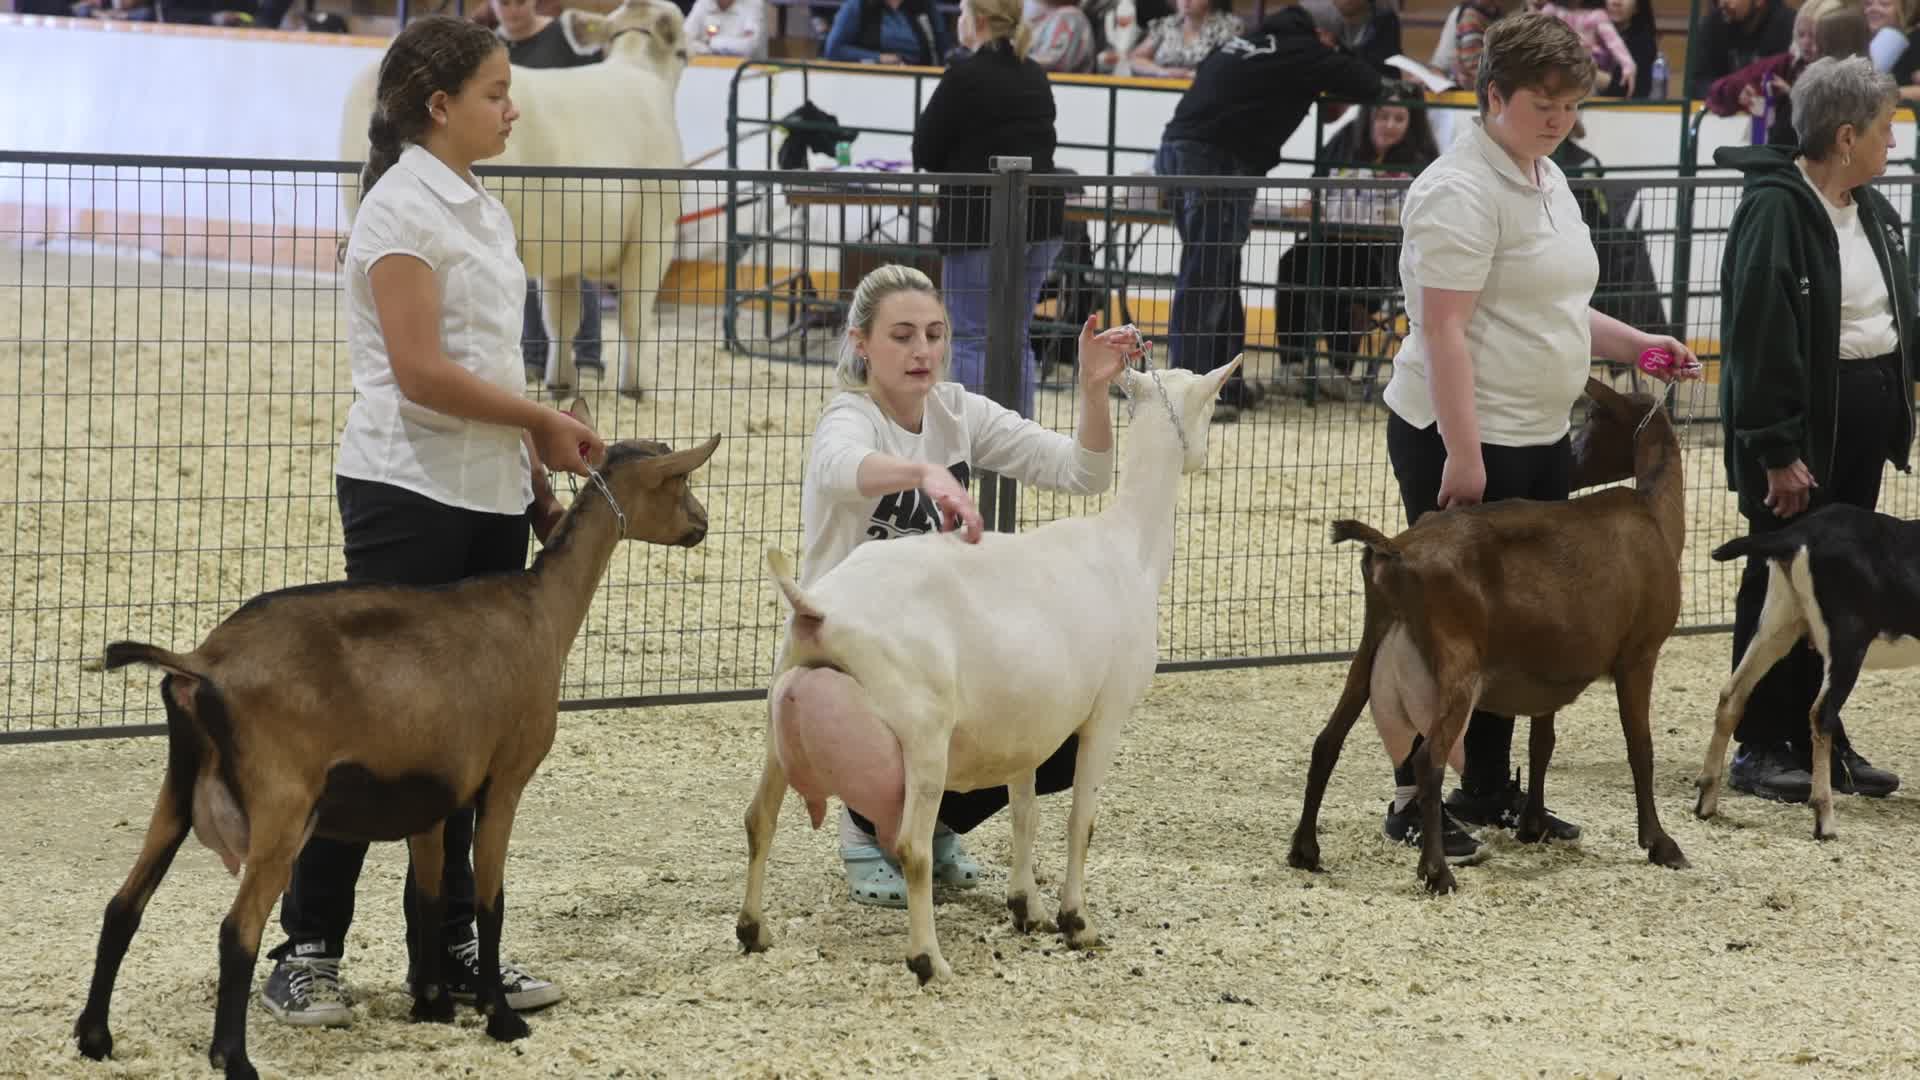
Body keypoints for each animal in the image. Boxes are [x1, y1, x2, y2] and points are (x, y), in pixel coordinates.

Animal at [73, 400, 718, 1080]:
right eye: (679, 480)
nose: (702, 524)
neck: (539, 609)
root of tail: (201, 664)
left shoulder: (430, 796)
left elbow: (430, 898)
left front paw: (432, 1006)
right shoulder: (505, 781)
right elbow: (489, 900)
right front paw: (500, 1017)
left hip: (176, 791)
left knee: (122, 905)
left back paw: (95, 1037)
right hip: (283, 807)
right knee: (236, 931)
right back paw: (234, 1058)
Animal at [736, 358, 1242, 985]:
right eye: (1213, 403)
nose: (1204, 456)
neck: (1130, 544)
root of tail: (818, 609)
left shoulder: (1027, 727)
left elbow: (1026, 814)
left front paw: (1028, 909)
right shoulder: (1107, 714)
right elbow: (1081, 821)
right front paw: (1078, 923)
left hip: (778, 720)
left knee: (759, 819)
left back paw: (753, 931)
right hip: (923, 736)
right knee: (911, 846)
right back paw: (929, 960)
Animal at [1287, 377, 1691, 894]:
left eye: (1595, 417)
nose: (1571, 462)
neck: (1656, 514)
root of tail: (1395, 549)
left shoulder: (1553, 666)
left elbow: (1542, 745)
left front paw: (1534, 824)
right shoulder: (1640, 653)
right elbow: (1641, 747)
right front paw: (1661, 843)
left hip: (1373, 640)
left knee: (1327, 740)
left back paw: (1305, 851)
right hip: (1456, 663)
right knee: (1429, 760)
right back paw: (1436, 871)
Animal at [1694, 503, 1920, 839]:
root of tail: (1797, 534)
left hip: (1778, 622)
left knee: (1731, 696)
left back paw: (1706, 803)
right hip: (1846, 638)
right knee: (1820, 713)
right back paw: (1824, 820)